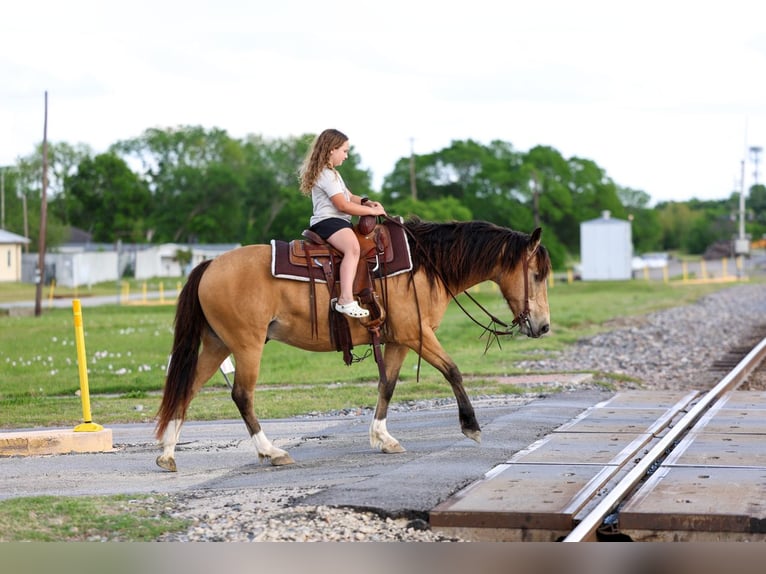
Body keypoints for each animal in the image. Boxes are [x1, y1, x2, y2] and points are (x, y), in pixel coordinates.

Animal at [155, 218, 552, 471]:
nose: (544, 326)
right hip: (247, 345)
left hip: (218, 344)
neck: (425, 266)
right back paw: (271, 451)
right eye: (536, 275)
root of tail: (209, 265)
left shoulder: (398, 339)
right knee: (241, 395)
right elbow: (452, 370)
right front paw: (471, 426)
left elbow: (387, 385)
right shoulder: (418, 334)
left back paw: (168, 454)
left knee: (187, 389)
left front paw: (383, 438)